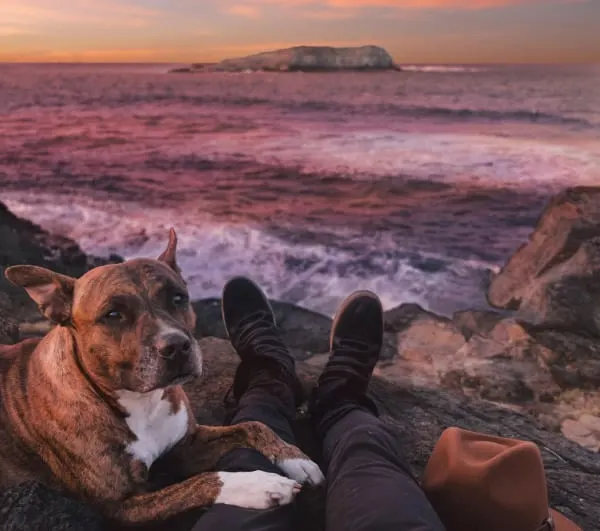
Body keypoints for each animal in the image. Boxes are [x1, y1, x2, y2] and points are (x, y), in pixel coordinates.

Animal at [0, 231, 324, 524]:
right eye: (113, 314)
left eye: (178, 298)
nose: (177, 346)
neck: (141, 401)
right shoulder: (121, 505)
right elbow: (201, 482)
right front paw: (260, 485)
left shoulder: (188, 444)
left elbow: (252, 425)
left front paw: (295, 458)